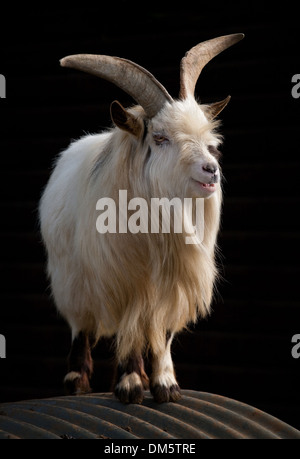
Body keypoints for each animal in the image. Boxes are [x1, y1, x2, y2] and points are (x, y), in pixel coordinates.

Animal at [38, 34, 243, 404]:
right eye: (160, 138)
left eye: (211, 143)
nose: (211, 170)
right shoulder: (124, 280)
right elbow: (129, 329)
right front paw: (131, 385)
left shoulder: (173, 282)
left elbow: (162, 332)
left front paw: (165, 385)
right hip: (71, 277)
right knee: (81, 325)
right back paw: (77, 381)